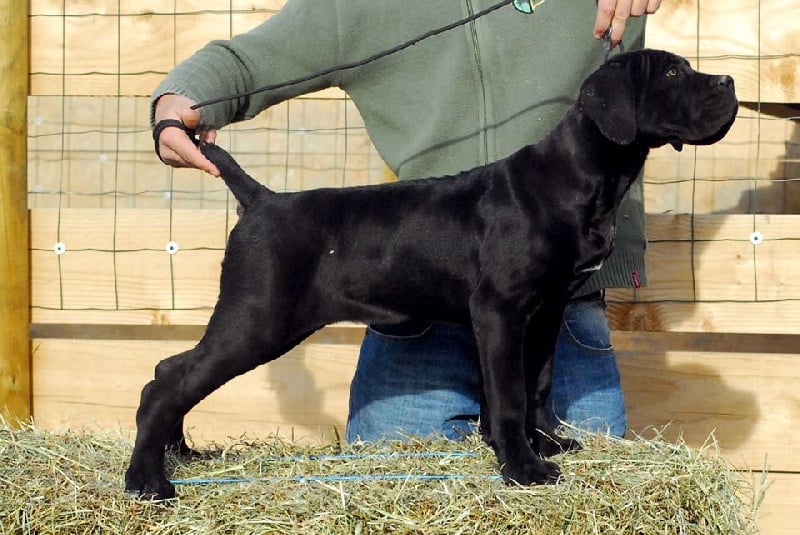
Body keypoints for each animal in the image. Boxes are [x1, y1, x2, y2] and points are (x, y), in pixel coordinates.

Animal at [125, 50, 737, 499]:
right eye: (673, 73)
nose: (730, 81)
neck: (579, 178)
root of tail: (262, 199)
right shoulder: (499, 310)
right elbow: (508, 395)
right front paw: (523, 469)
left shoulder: (545, 311)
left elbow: (537, 385)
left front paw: (545, 445)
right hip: (259, 317)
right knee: (167, 384)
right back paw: (148, 482)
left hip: (256, 320)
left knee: (166, 370)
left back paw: (178, 455)